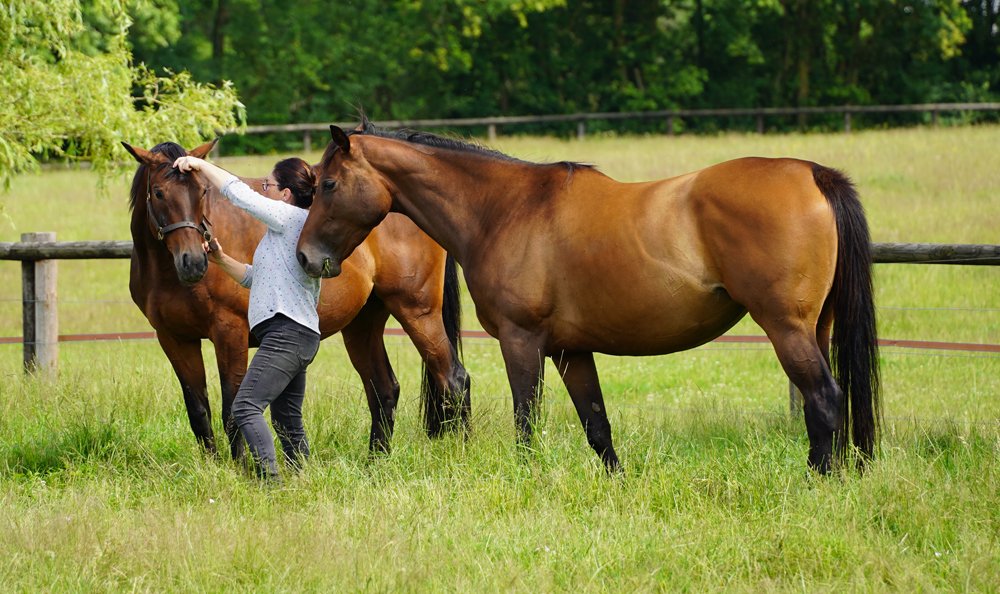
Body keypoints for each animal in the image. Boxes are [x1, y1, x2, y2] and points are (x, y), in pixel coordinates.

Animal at [121, 139, 471, 459]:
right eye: (159, 193)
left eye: (202, 192)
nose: (194, 262)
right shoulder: (175, 339)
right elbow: (198, 411)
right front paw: (213, 467)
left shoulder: (228, 333)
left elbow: (231, 410)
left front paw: (241, 471)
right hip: (362, 323)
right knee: (384, 389)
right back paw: (375, 461)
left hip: (417, 311)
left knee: (454, 379)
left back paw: (461, 451)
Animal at [295, 123, 881, 474]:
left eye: (328, 185)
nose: (305, 257)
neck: (505, 208)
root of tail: (814, 174)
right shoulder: (570, 350)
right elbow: (597, 424)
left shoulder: (522, 341)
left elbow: (526, 420)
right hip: (817, 328)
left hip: (786, 328)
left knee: (824, 397)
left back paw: (817, 480)